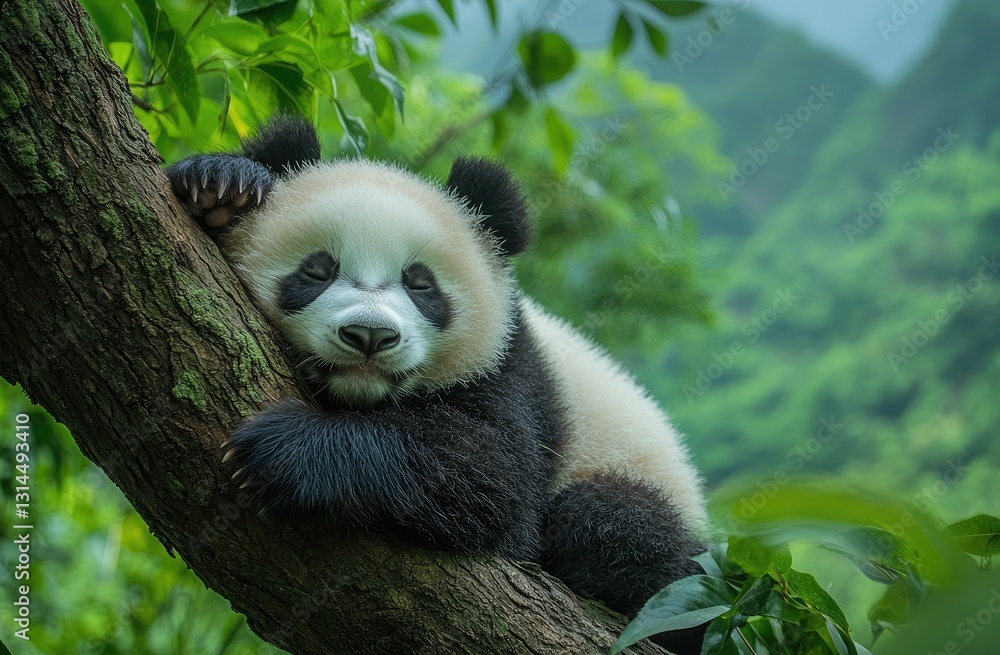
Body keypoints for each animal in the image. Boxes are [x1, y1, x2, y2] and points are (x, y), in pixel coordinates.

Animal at [166, 117, 709, 652]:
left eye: (420, 283)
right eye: (317, 270)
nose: (370, 336)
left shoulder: (508, 373)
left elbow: (492, 477)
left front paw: (281, 451)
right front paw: (220, 190)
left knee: (615, 530)